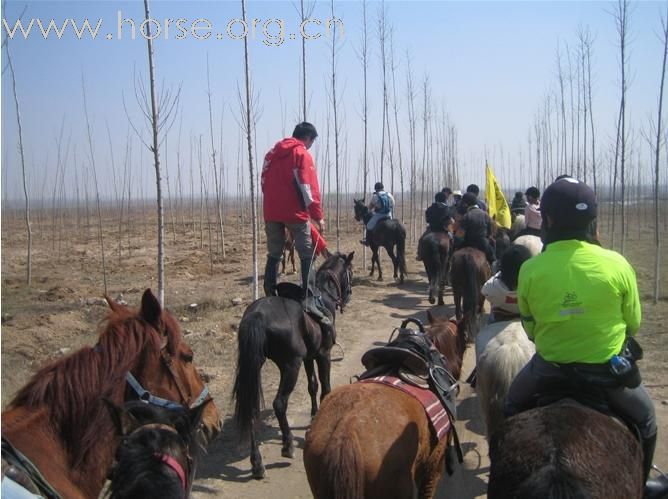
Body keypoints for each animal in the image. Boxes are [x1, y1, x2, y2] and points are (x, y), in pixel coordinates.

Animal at [232, 254, 354, 480]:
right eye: (350, 271)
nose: (348, 295)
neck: (324, 294)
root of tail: (257, 315)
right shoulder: (323, 354)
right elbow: (325, 388)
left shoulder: (309, 357)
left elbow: (312, 386)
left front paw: (314, 415)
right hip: (290, 366)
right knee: (280, 403)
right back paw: (287, 445)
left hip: (256, 366)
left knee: (252, 408)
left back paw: (257, 463)